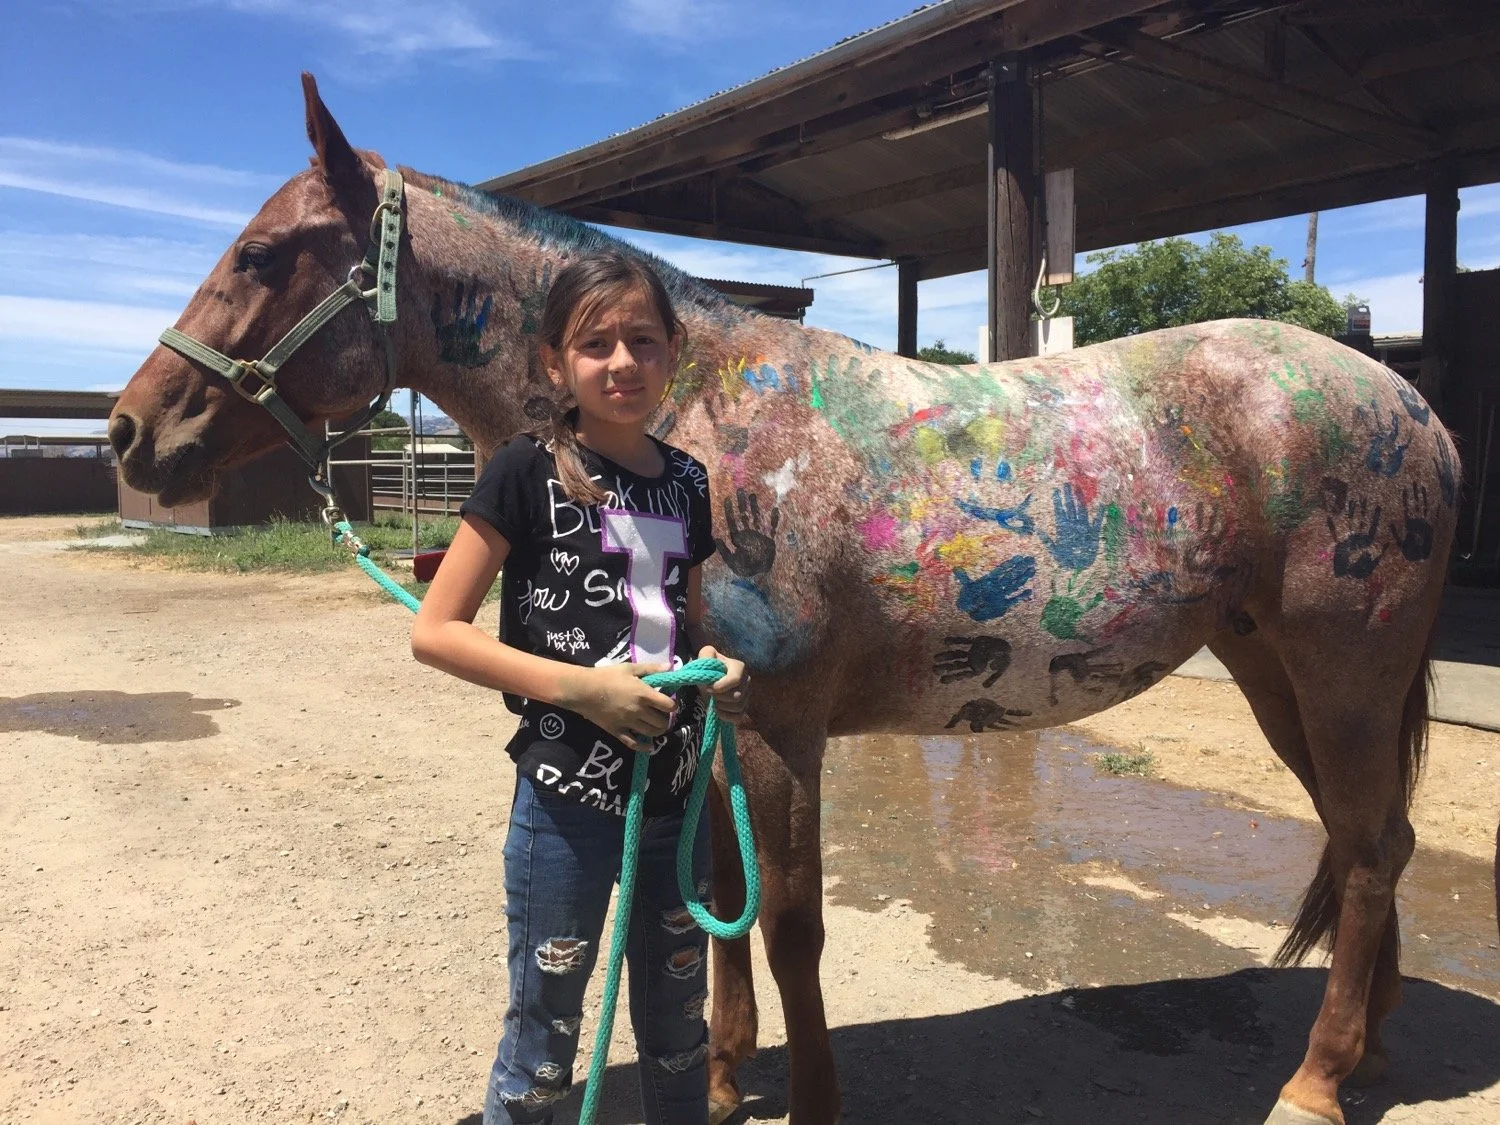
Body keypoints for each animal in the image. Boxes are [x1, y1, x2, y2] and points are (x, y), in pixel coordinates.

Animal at [109, 75, 1487, 1125]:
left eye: (261, 255)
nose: (131, 434)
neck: (710, 424)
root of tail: (1408, 403)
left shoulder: (779, 727)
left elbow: (786, 923)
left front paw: (808, 1098)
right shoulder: (707, 717)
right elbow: (712, 906)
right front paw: (723, 1080)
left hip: (1343, 672)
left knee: (1369, 850)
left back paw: (1314, 1085)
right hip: (1273, 671)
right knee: (1375, 840)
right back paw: (1365, 1049)